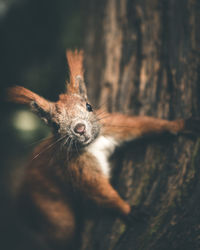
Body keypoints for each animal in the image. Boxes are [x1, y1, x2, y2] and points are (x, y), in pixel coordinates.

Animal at [7, 49, 200, 249]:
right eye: (55, 124)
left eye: (89, 106)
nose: (80, 129)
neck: (93, 143)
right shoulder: (77, 167)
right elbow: (98, 189)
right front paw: (127, 209)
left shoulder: (112, 125)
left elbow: (141, 125)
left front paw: (179, 125)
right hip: (51, 207)